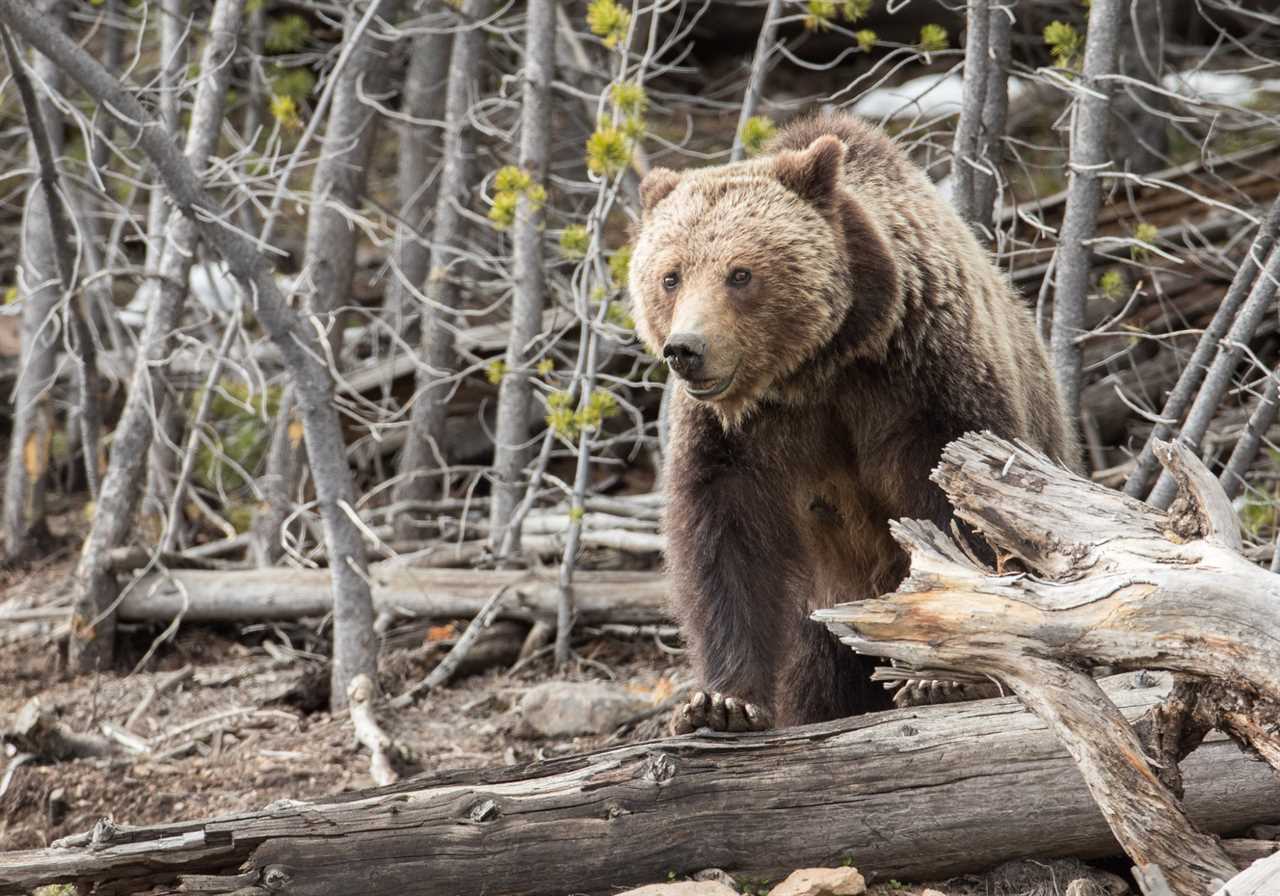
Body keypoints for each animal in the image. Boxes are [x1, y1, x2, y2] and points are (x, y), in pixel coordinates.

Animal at [624, 110, 1075, 737]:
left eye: (740, 273)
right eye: (670, 275)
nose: (686, 349)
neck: (817, 366)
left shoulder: (922, 381)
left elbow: (962, 511)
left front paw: (944, 679)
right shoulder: (738, 434)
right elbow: (726, 539)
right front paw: (722, 702)